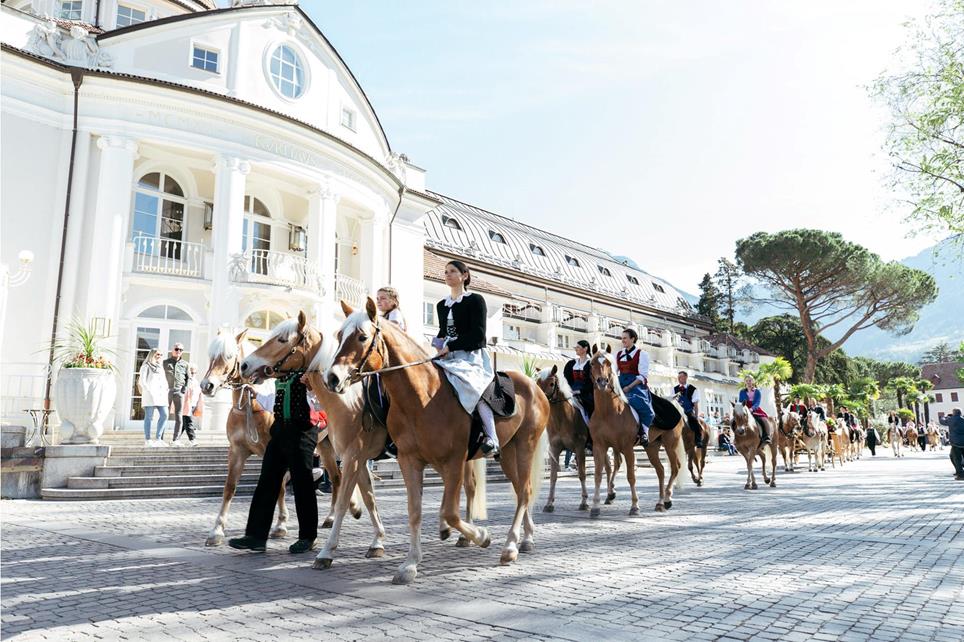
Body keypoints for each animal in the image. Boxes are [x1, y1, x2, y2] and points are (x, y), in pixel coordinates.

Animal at [237, 310, 388, 560]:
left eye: (282, 340)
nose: (245, 365)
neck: (352, 406)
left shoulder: (353, 457)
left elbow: (348, 498)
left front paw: (327, 550)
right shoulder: (359, 457)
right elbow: (369, 498)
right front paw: (377, 541)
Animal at [326, 298, 548, 584]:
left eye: (362, 337)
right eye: (339, 336)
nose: (332, 378)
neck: (423, 396)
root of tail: (533, 385)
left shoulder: (453, 461)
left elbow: (449, 512)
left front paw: (482, 536)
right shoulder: (409, 460)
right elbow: (415, 510)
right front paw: (410, 563)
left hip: (524, 447)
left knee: (524, 492)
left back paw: (510, 546)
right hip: (507, 453)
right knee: (522, 490)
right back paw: (524, 539)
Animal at [536, 364, 612, 510]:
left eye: (551, 383)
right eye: (537, 382)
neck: (563, 418)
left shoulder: (579, 448)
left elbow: (582, 474)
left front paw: (584, 502)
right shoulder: (554, 449)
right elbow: (553, 476)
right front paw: (549, 503)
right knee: (607, 467)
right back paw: (609, 496)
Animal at [588, 342, 684, 512]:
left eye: (608, 363)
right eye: (592, 363)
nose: (602, 382)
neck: (608, 412)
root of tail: (673, 403)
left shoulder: (627, 448)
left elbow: (631, 476)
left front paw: (634, 505)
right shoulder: (599, 446)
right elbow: (598, 475)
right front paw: (595, 506)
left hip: (670, 444)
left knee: (675, 468)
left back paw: (667, 498)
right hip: (651, 447)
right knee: (660, 470)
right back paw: (660, 502)